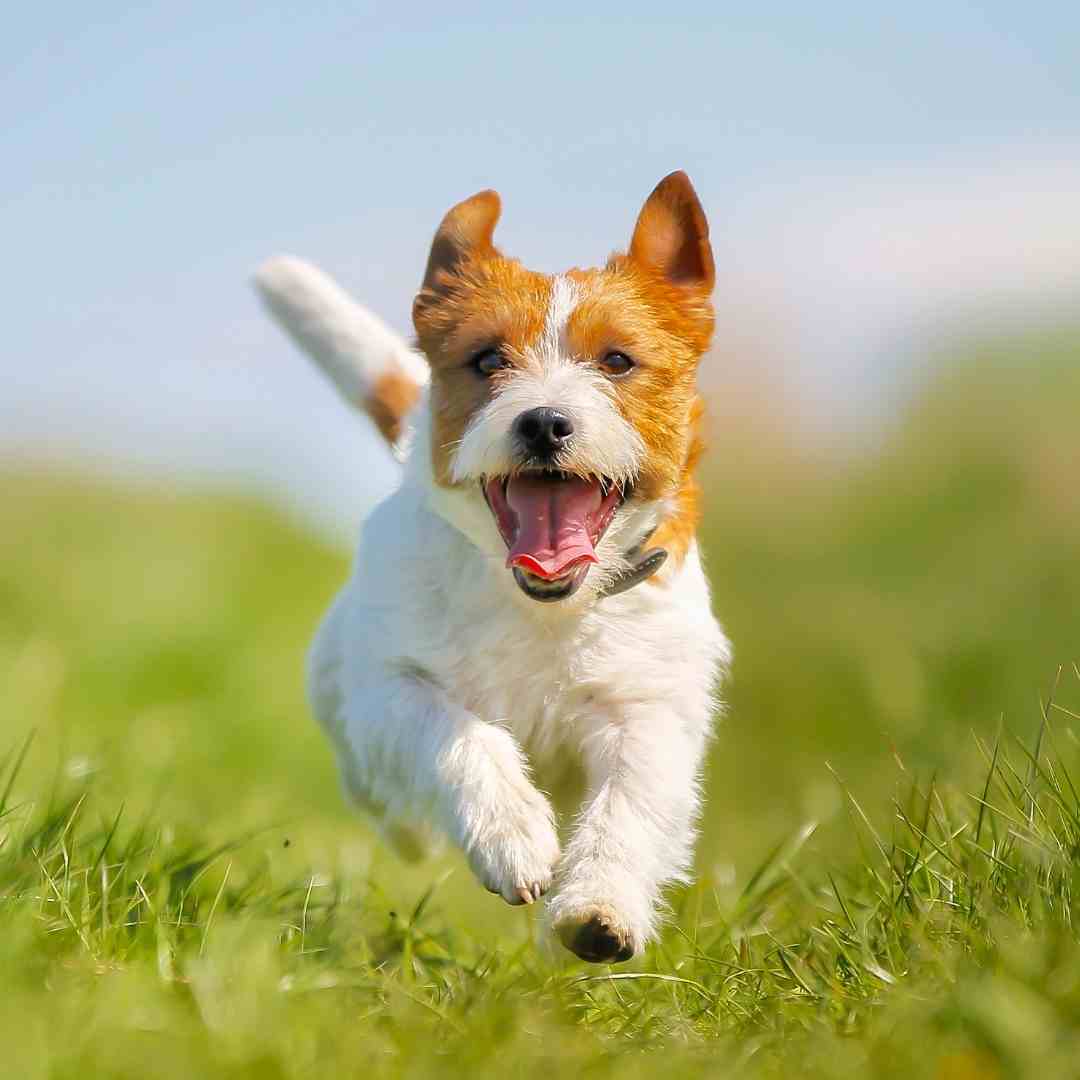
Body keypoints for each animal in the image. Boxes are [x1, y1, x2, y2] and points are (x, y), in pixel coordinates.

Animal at [254, 172, 725, 967]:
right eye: (486, 360)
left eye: (617, 361)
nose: (544, 422)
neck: (540, 604)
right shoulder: (393, 685)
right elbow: (460, 734)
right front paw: (512, 836)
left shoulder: (646, 708)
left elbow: (629, 803)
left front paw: (598, 907)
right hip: (345, 699)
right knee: (379, 791)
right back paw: (412, 829)